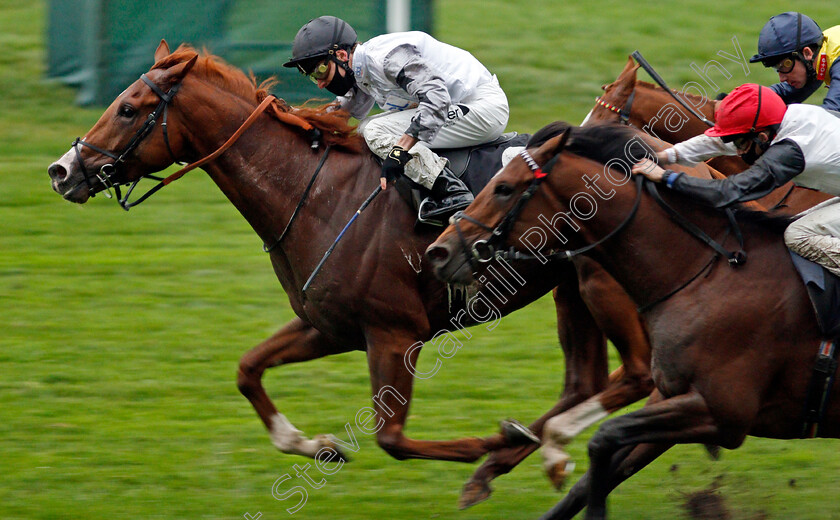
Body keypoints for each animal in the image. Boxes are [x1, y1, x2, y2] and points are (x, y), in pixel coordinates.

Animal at [430, 123, 836, 520]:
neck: (707, 270)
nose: (439, 252)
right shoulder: (677, 398)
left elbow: (603, 438)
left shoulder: (723, 412)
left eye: (504, 188)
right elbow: (595, 474)